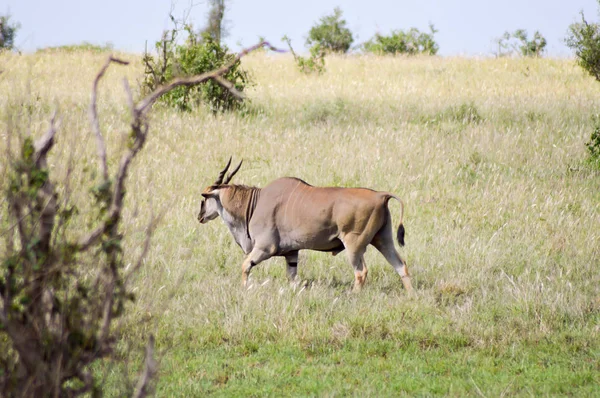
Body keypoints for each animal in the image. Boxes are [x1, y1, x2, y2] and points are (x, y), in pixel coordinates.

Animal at [197, 159, 412, 292]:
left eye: (204, 198)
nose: (200, 216)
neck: (256, 202)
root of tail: (381, 195)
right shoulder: (292, 254)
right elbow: (292, 278)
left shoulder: (264, 248)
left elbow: (245, 267)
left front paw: (244, 289)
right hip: (383, 241)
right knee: (401, 266)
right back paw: (411, 296)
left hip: (354, 246)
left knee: (361, 272)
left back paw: (353, 295)